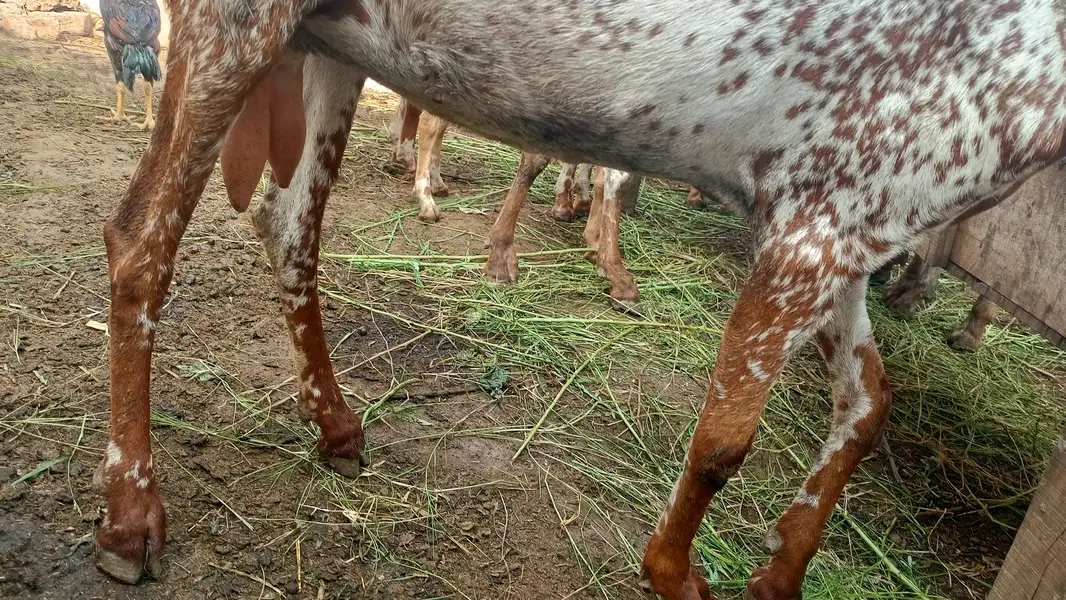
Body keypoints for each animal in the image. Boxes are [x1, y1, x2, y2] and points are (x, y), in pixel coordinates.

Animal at [96, 2, 1066, 598]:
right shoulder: (808, 238)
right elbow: (724, 441)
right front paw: (674, 569)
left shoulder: (849, 228)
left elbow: (867, 408)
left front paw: (780, 572)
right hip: (235, 27)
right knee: (141, 243)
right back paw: (130, 520)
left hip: (327, 44)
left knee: (291, 233)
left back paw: (336, 426)